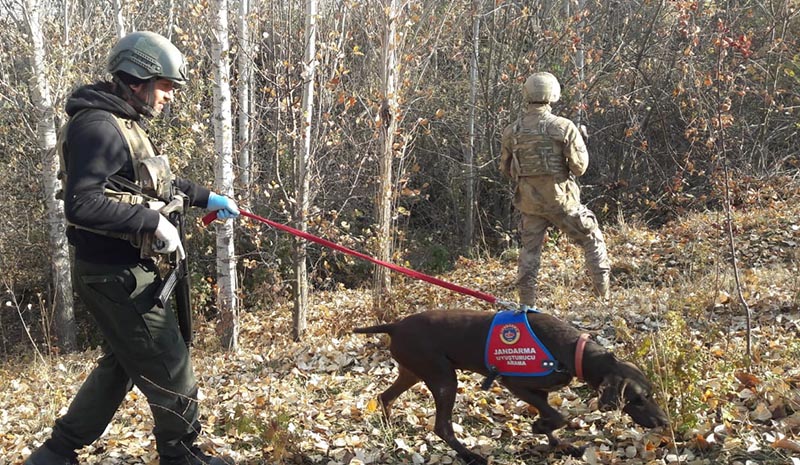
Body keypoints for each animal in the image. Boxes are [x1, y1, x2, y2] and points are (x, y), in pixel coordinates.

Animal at [356, 308, 668, 464]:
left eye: (651, 394)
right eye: (639, 398)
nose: (664, 422)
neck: (573, 351)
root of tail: (395, 325)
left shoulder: (540, 391)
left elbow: (552, 417)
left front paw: (559, 444)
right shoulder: (514, 382)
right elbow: (558, 417)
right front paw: (540, 428)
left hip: (414, 371)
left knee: (384, 397)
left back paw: (389, 428)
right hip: (444, 378)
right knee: (442, 426)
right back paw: (470, 456)